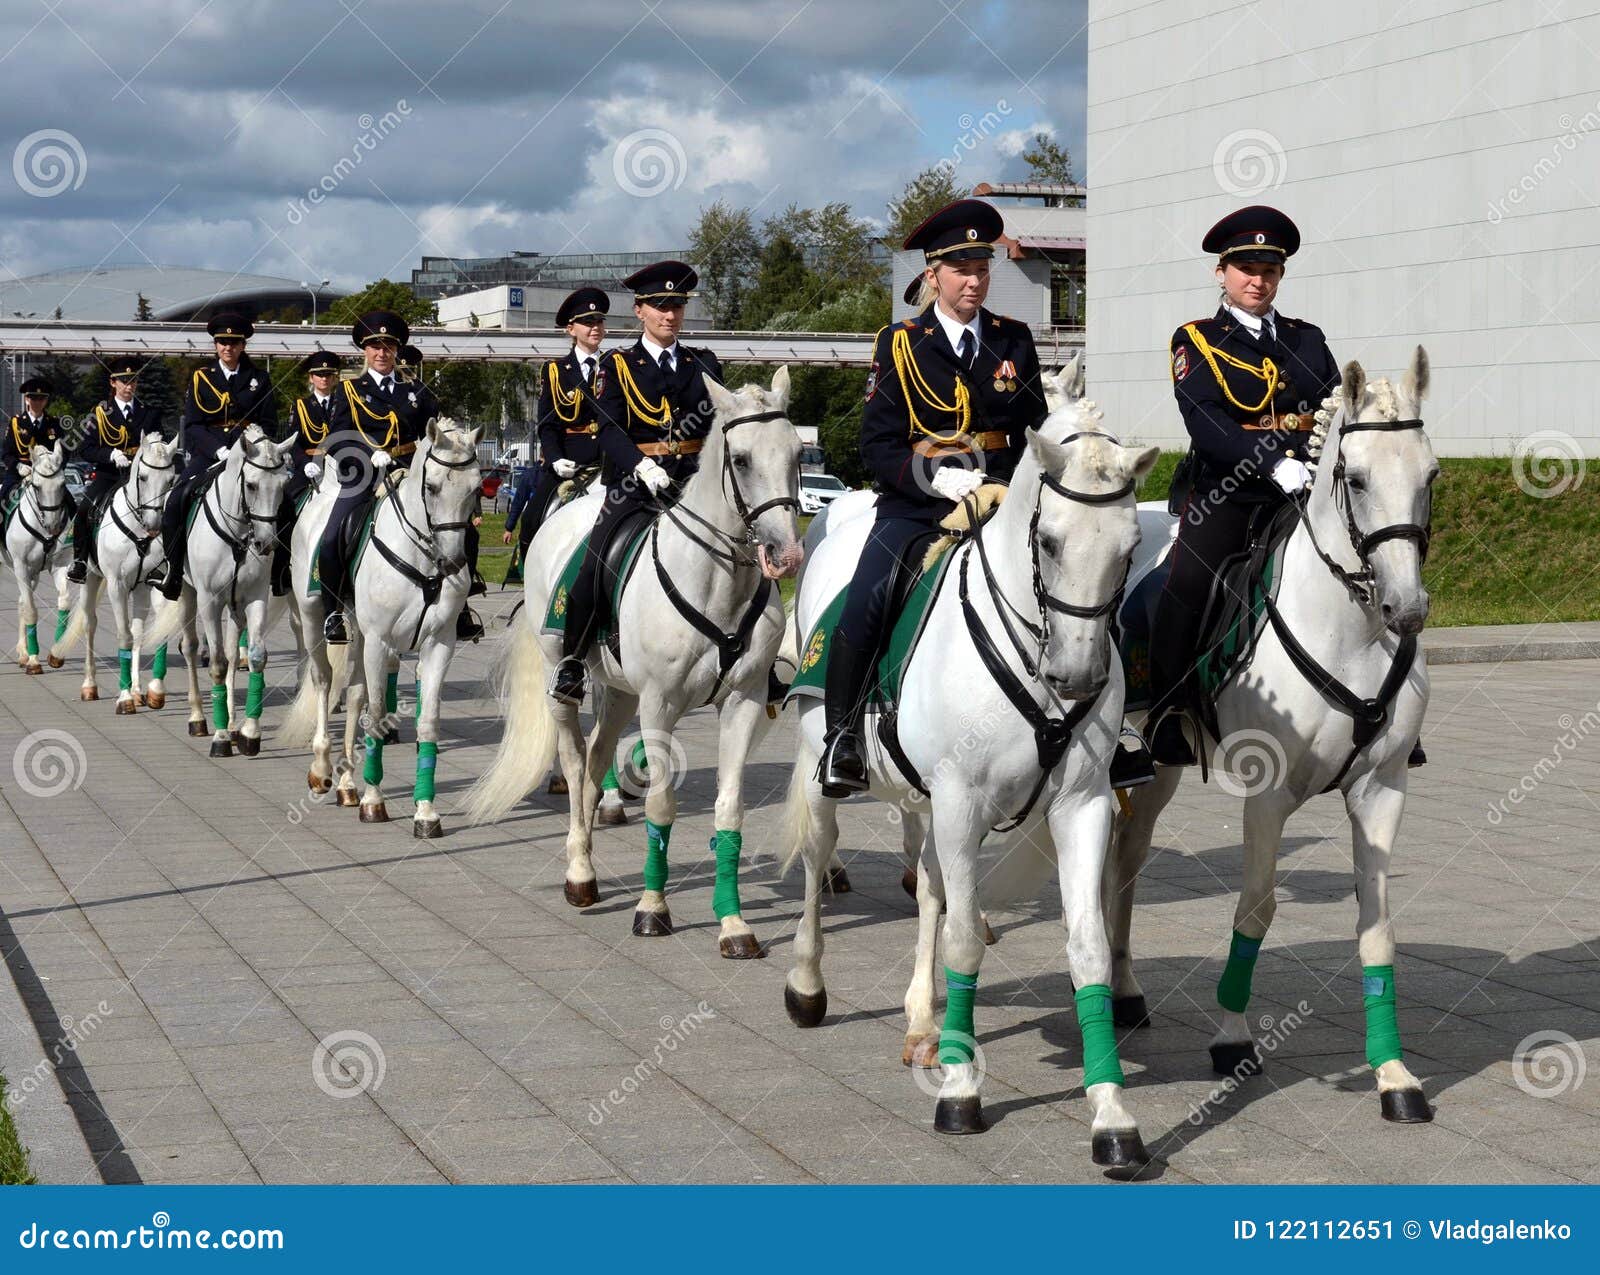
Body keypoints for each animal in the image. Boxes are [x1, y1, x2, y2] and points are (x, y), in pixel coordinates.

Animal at [5, 441, 74, 671]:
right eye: (36, 486)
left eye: (62, 484)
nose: (53, 526)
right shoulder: (20, 566)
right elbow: (31, 610)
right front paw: (35, 659)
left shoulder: (59, 566)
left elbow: (64, 602)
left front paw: (56, 653)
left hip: (33, 573)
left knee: (20, 602)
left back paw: (23, 652)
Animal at [57, 431, 178, 710]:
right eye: (143, 477)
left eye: (170, 480)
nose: (155, 525)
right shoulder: (117, 585)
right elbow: (124, 636)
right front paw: (124, 698)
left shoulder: (151, 585)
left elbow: (146, 634)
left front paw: (147, 691)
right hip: (91, 578)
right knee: (90, 624)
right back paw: (90, 686)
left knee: (136, 630)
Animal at [467, 366, 806, 953]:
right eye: (741, 459)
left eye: (797, 454)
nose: (785, 556)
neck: (719, 581)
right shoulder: (660, 705)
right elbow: (661, 805)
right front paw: (652, 908)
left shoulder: (743, 702)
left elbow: (730, 809)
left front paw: (734, 924)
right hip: (567, 680)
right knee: (575, 760)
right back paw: (580, 874)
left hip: (622, 692)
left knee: (597, 758)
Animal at [780, 382, 1158, 1171]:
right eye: (1049, 542)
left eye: (1130, 547)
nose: (1077, 677)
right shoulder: (961, 803)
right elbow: (963, 940)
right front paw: (961, 1093)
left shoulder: (1081, 806)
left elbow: (1087, 946)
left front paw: (1111, 1115)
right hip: (824, 768)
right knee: (818, 859)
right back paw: (808, 984)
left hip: (928, 801)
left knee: (927, 885)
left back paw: (926, 1023)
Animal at [1113, 348, 1440, 1126]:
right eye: (1355, 477)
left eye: (1432, 475)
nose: (1407, 608)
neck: (1352, 630)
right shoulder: (1267, 796)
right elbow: (1255, 909)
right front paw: (1233, 1037)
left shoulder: (1383, 789)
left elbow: (1376, 925)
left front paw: (1393, 1073)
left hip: (1159, 768)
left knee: (1125, 860)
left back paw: (1124, 992)